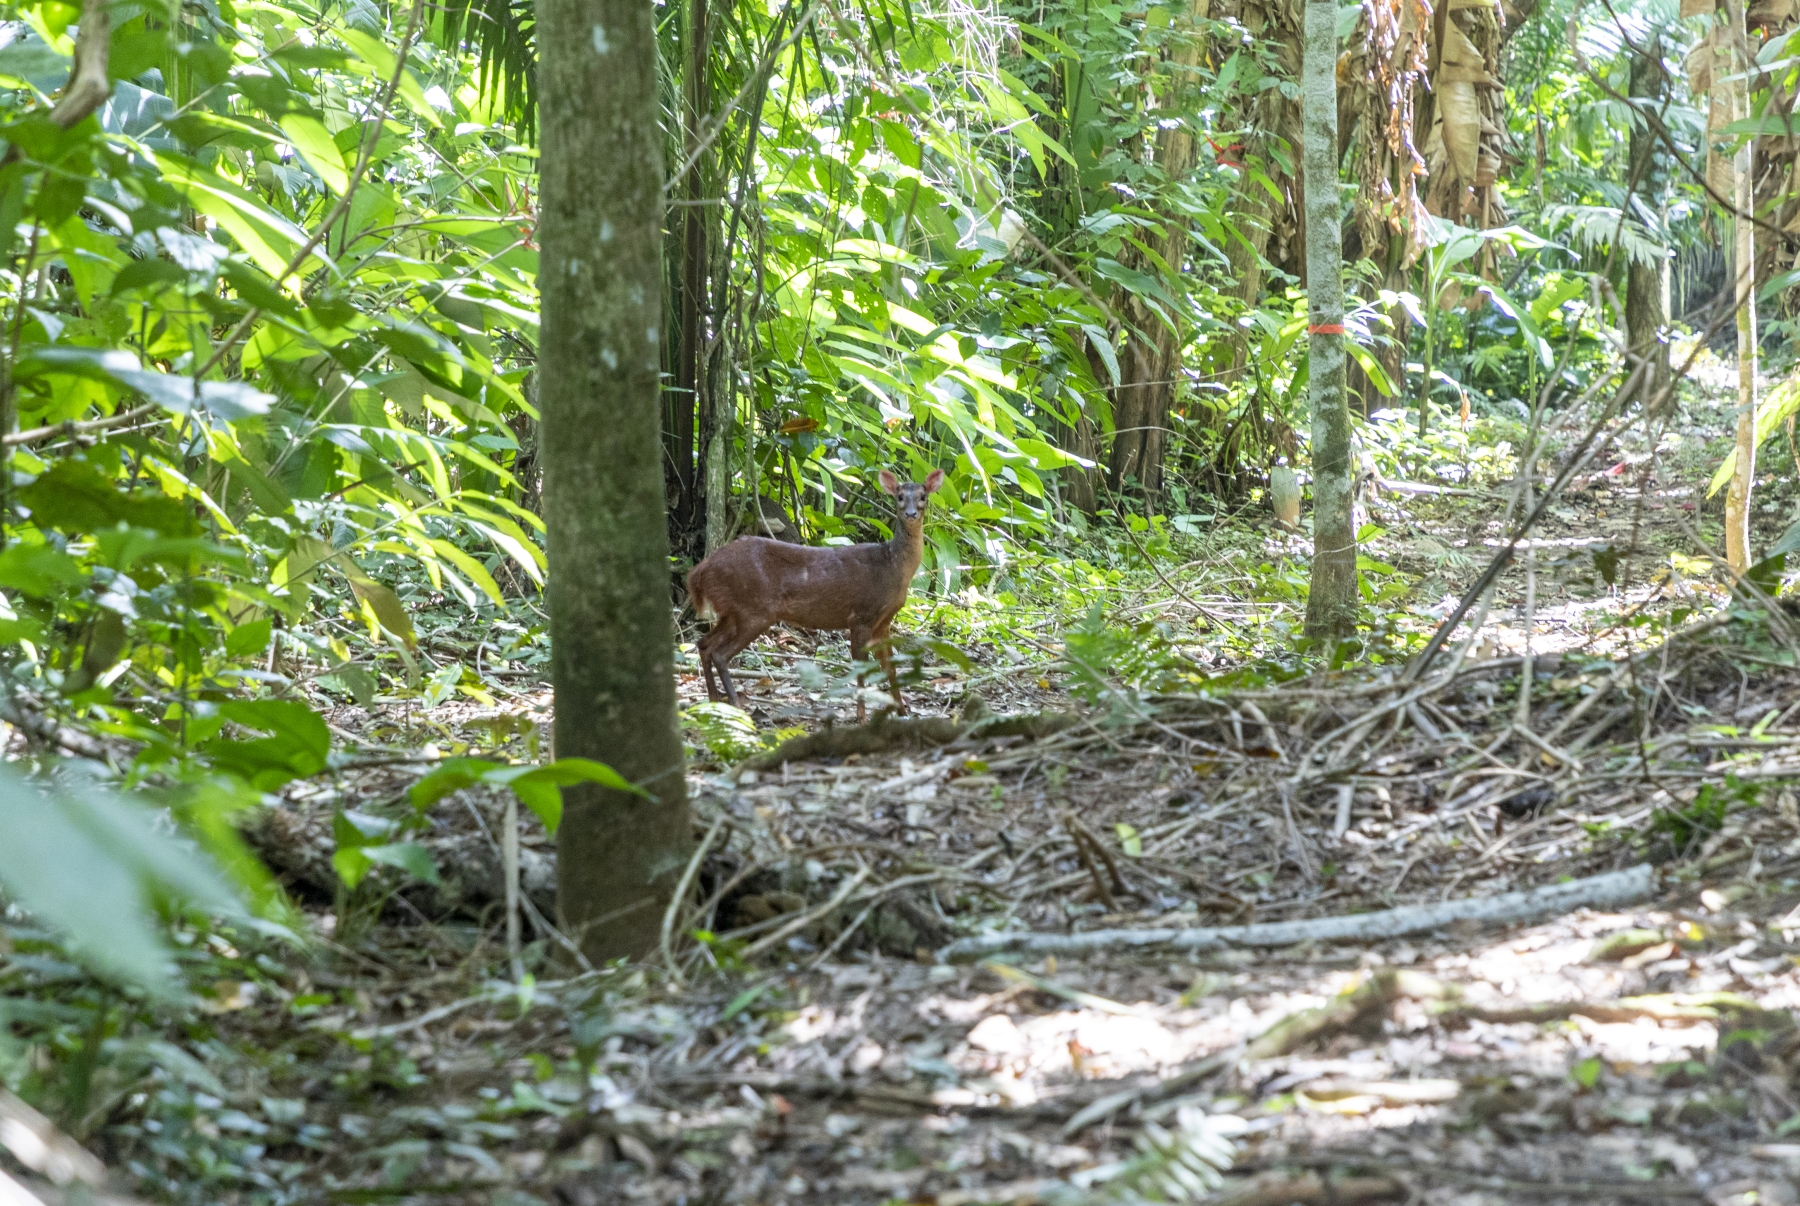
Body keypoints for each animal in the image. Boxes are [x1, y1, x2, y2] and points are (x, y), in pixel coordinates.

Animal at [686, 469, 944, 721]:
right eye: (899, 497)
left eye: (923, 496)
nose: (910, 513)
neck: (893, 567)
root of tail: (701, 570)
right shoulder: (861, 615)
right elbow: (861, 670)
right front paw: (861, 718)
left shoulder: (884, 622)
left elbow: (890, 669)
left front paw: (902, 712)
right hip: (754, 609)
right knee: (720, 654)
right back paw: (735, 705)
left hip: (731, 611)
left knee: (704, 644)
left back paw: (713, 701)